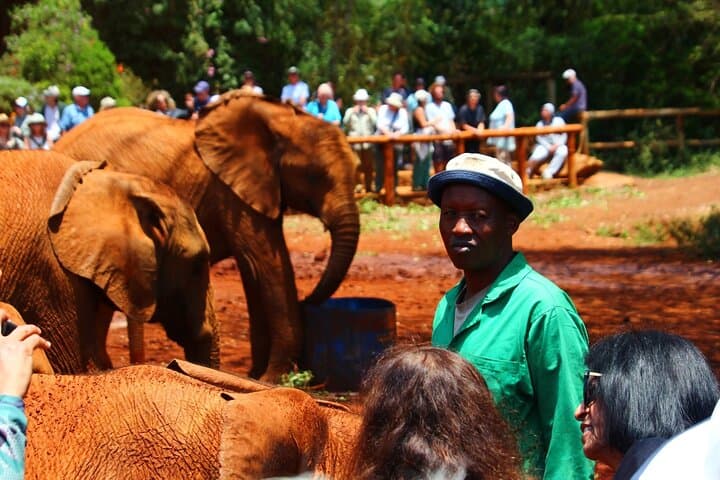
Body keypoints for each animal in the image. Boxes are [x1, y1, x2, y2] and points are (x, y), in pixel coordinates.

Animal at [54, 92, 361, 380]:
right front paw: (274, 377)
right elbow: (268, 264)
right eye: (315, 176)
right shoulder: (234, 193)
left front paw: (255, 376)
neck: (280, 118)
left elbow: (254, 271)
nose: (309, 300)